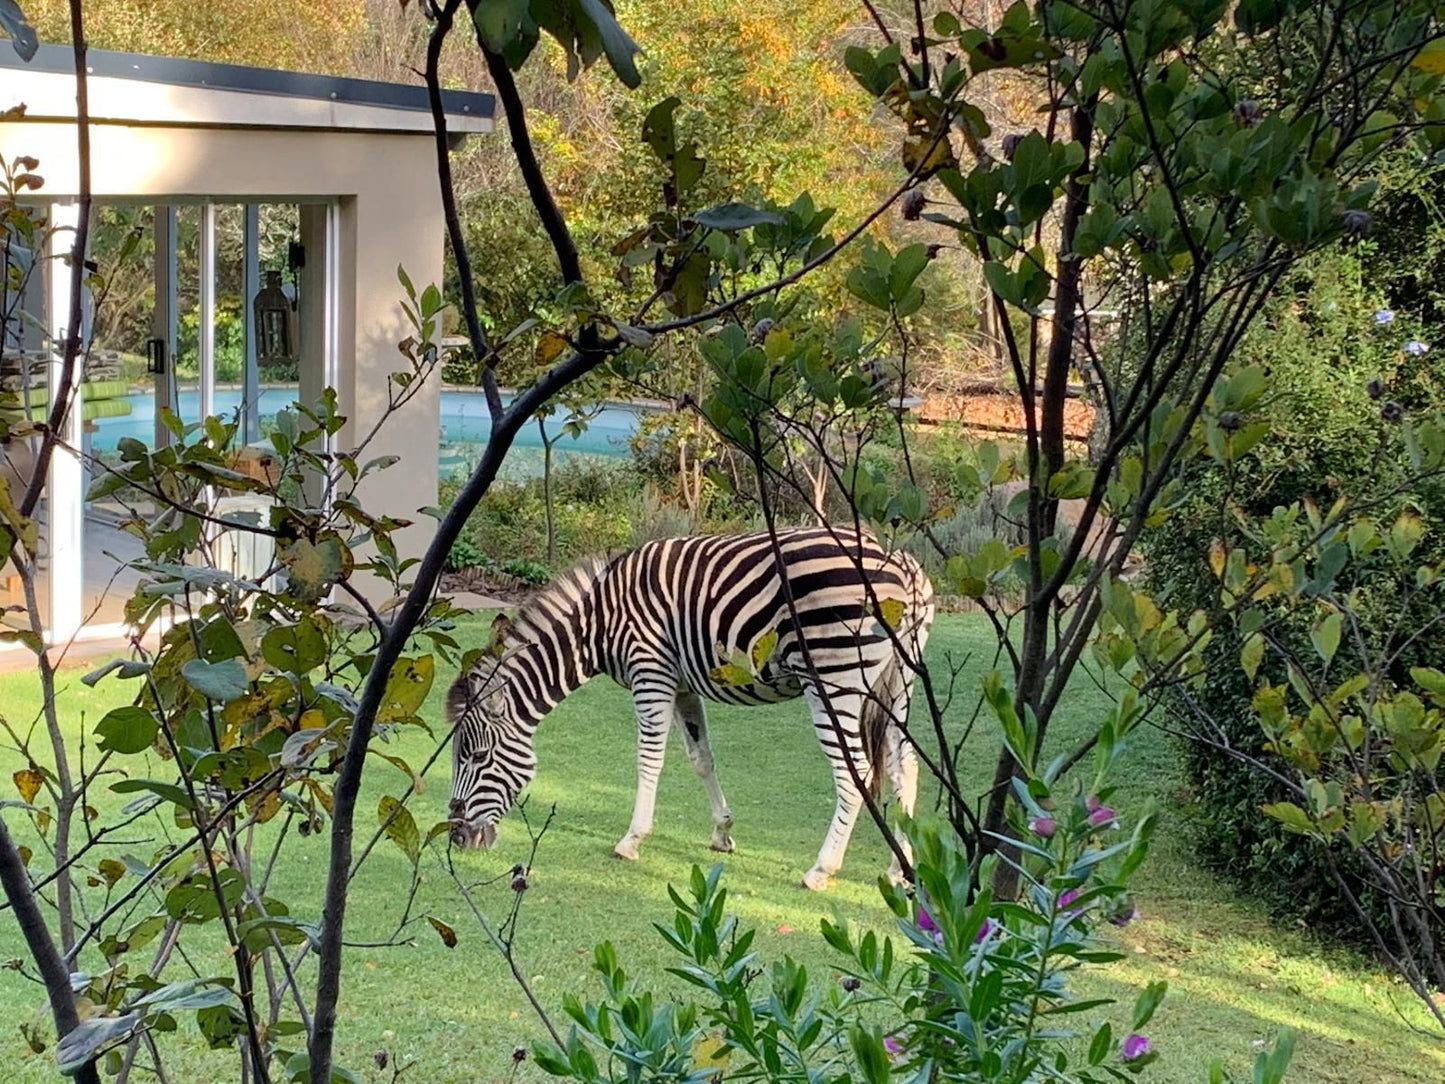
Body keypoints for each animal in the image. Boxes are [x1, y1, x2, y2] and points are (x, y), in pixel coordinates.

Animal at [442, 526, 936, 890]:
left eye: (476, 756)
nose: (458, 836)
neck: (596, 626)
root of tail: (901, 563)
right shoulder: (681, 683)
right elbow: (701, 757)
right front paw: (722, 832)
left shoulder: (650, 672)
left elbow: (649, 759)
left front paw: (631, 840)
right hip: (898, 683)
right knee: (905, 764)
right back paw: (901, 868)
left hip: (835, 679)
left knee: (856, 771)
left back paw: (820, 870)